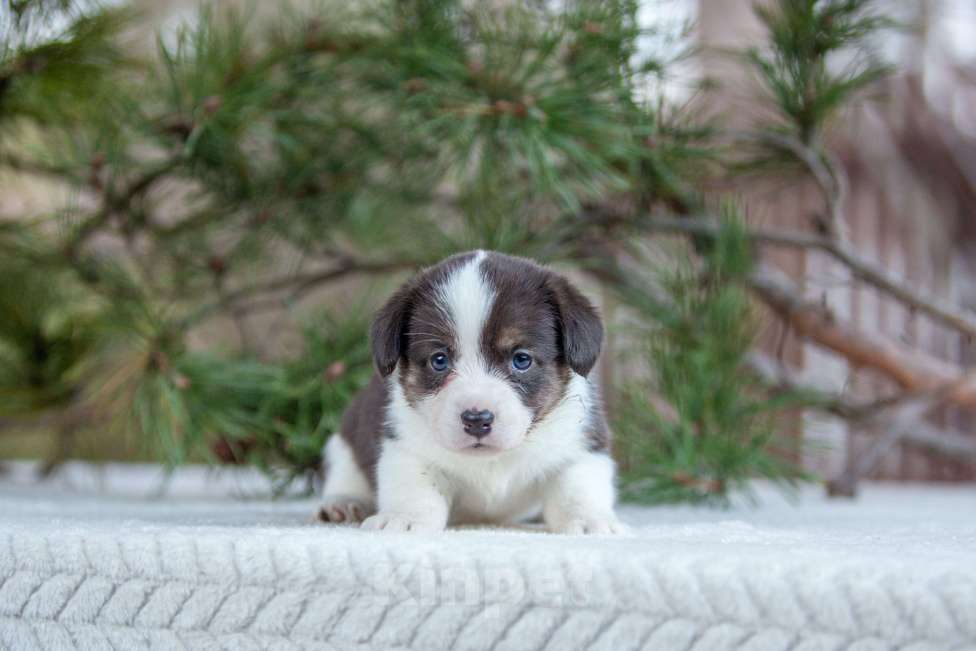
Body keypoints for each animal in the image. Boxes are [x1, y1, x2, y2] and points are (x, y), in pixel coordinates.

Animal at [320, 251, 624, 536]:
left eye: (521, 359)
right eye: (439, 360)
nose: (477, 420)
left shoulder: (581, 444)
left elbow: (578, 488)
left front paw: (590, 520)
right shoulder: (406, 448)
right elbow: (414, 488)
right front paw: (403, 518)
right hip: (344, 442)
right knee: (345, 475)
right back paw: (342, 503)